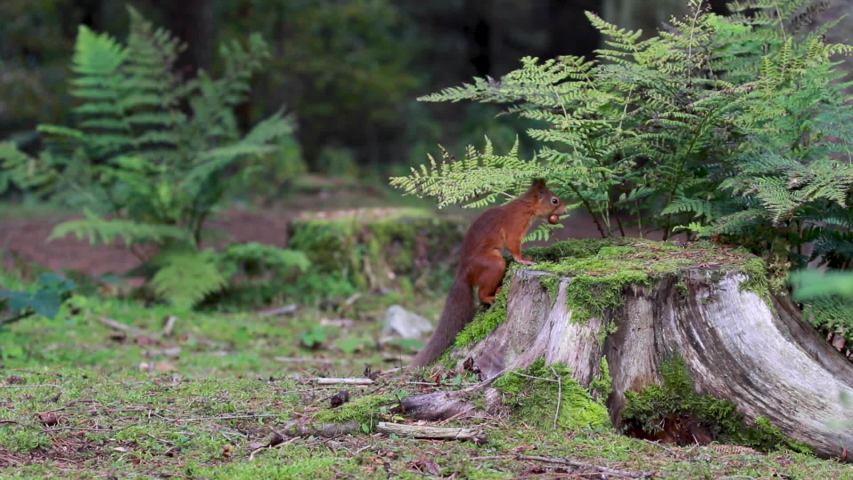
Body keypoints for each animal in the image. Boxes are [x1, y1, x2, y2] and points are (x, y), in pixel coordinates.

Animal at [412, 179, 568, 368]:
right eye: (554, 200)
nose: (566, 210)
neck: (526, 207)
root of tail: (464, 274)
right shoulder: (515, 225)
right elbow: (514, 245)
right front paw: (523, 259)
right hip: (493, 264)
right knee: (481, 293)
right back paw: (492, 296)